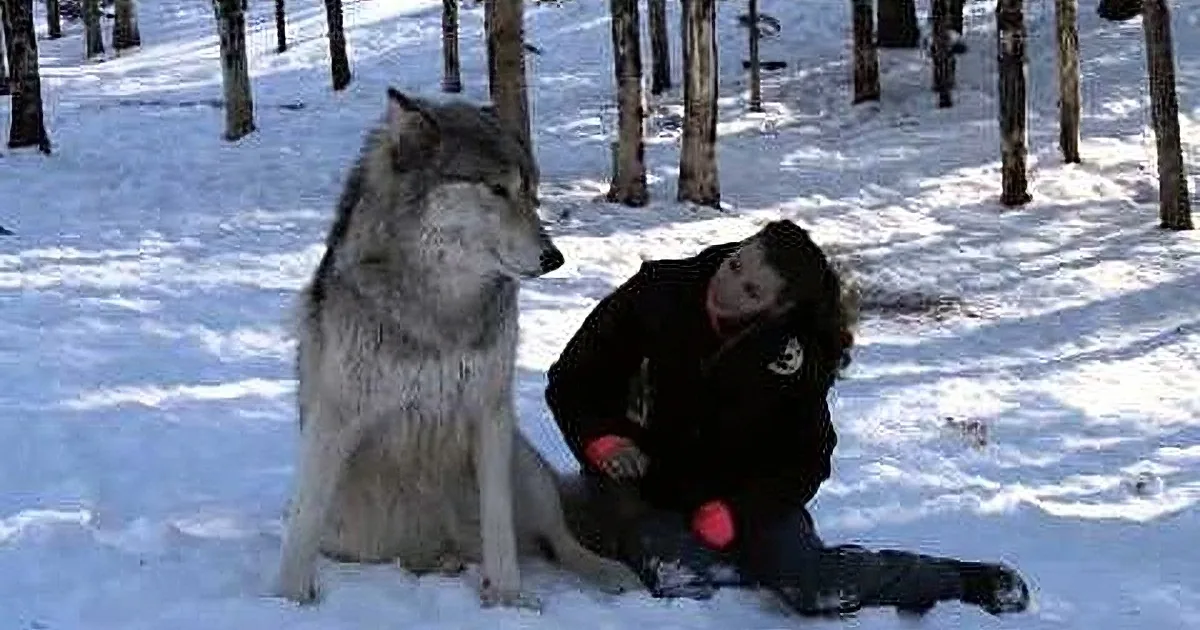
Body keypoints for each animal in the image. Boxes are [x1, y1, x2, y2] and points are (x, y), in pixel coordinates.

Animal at [274, 88, 642, 609]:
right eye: (497, 189)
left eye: (531, 192)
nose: (555, 258)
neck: (440, 309)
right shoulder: (335, 419)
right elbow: (301, 530)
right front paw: (287, 601)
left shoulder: (490, 413)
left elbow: (500, 528)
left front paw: (509, 601)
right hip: (350, 529)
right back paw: (443, 564)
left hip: (525, 465)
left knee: (557, 540)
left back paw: (608, 573)